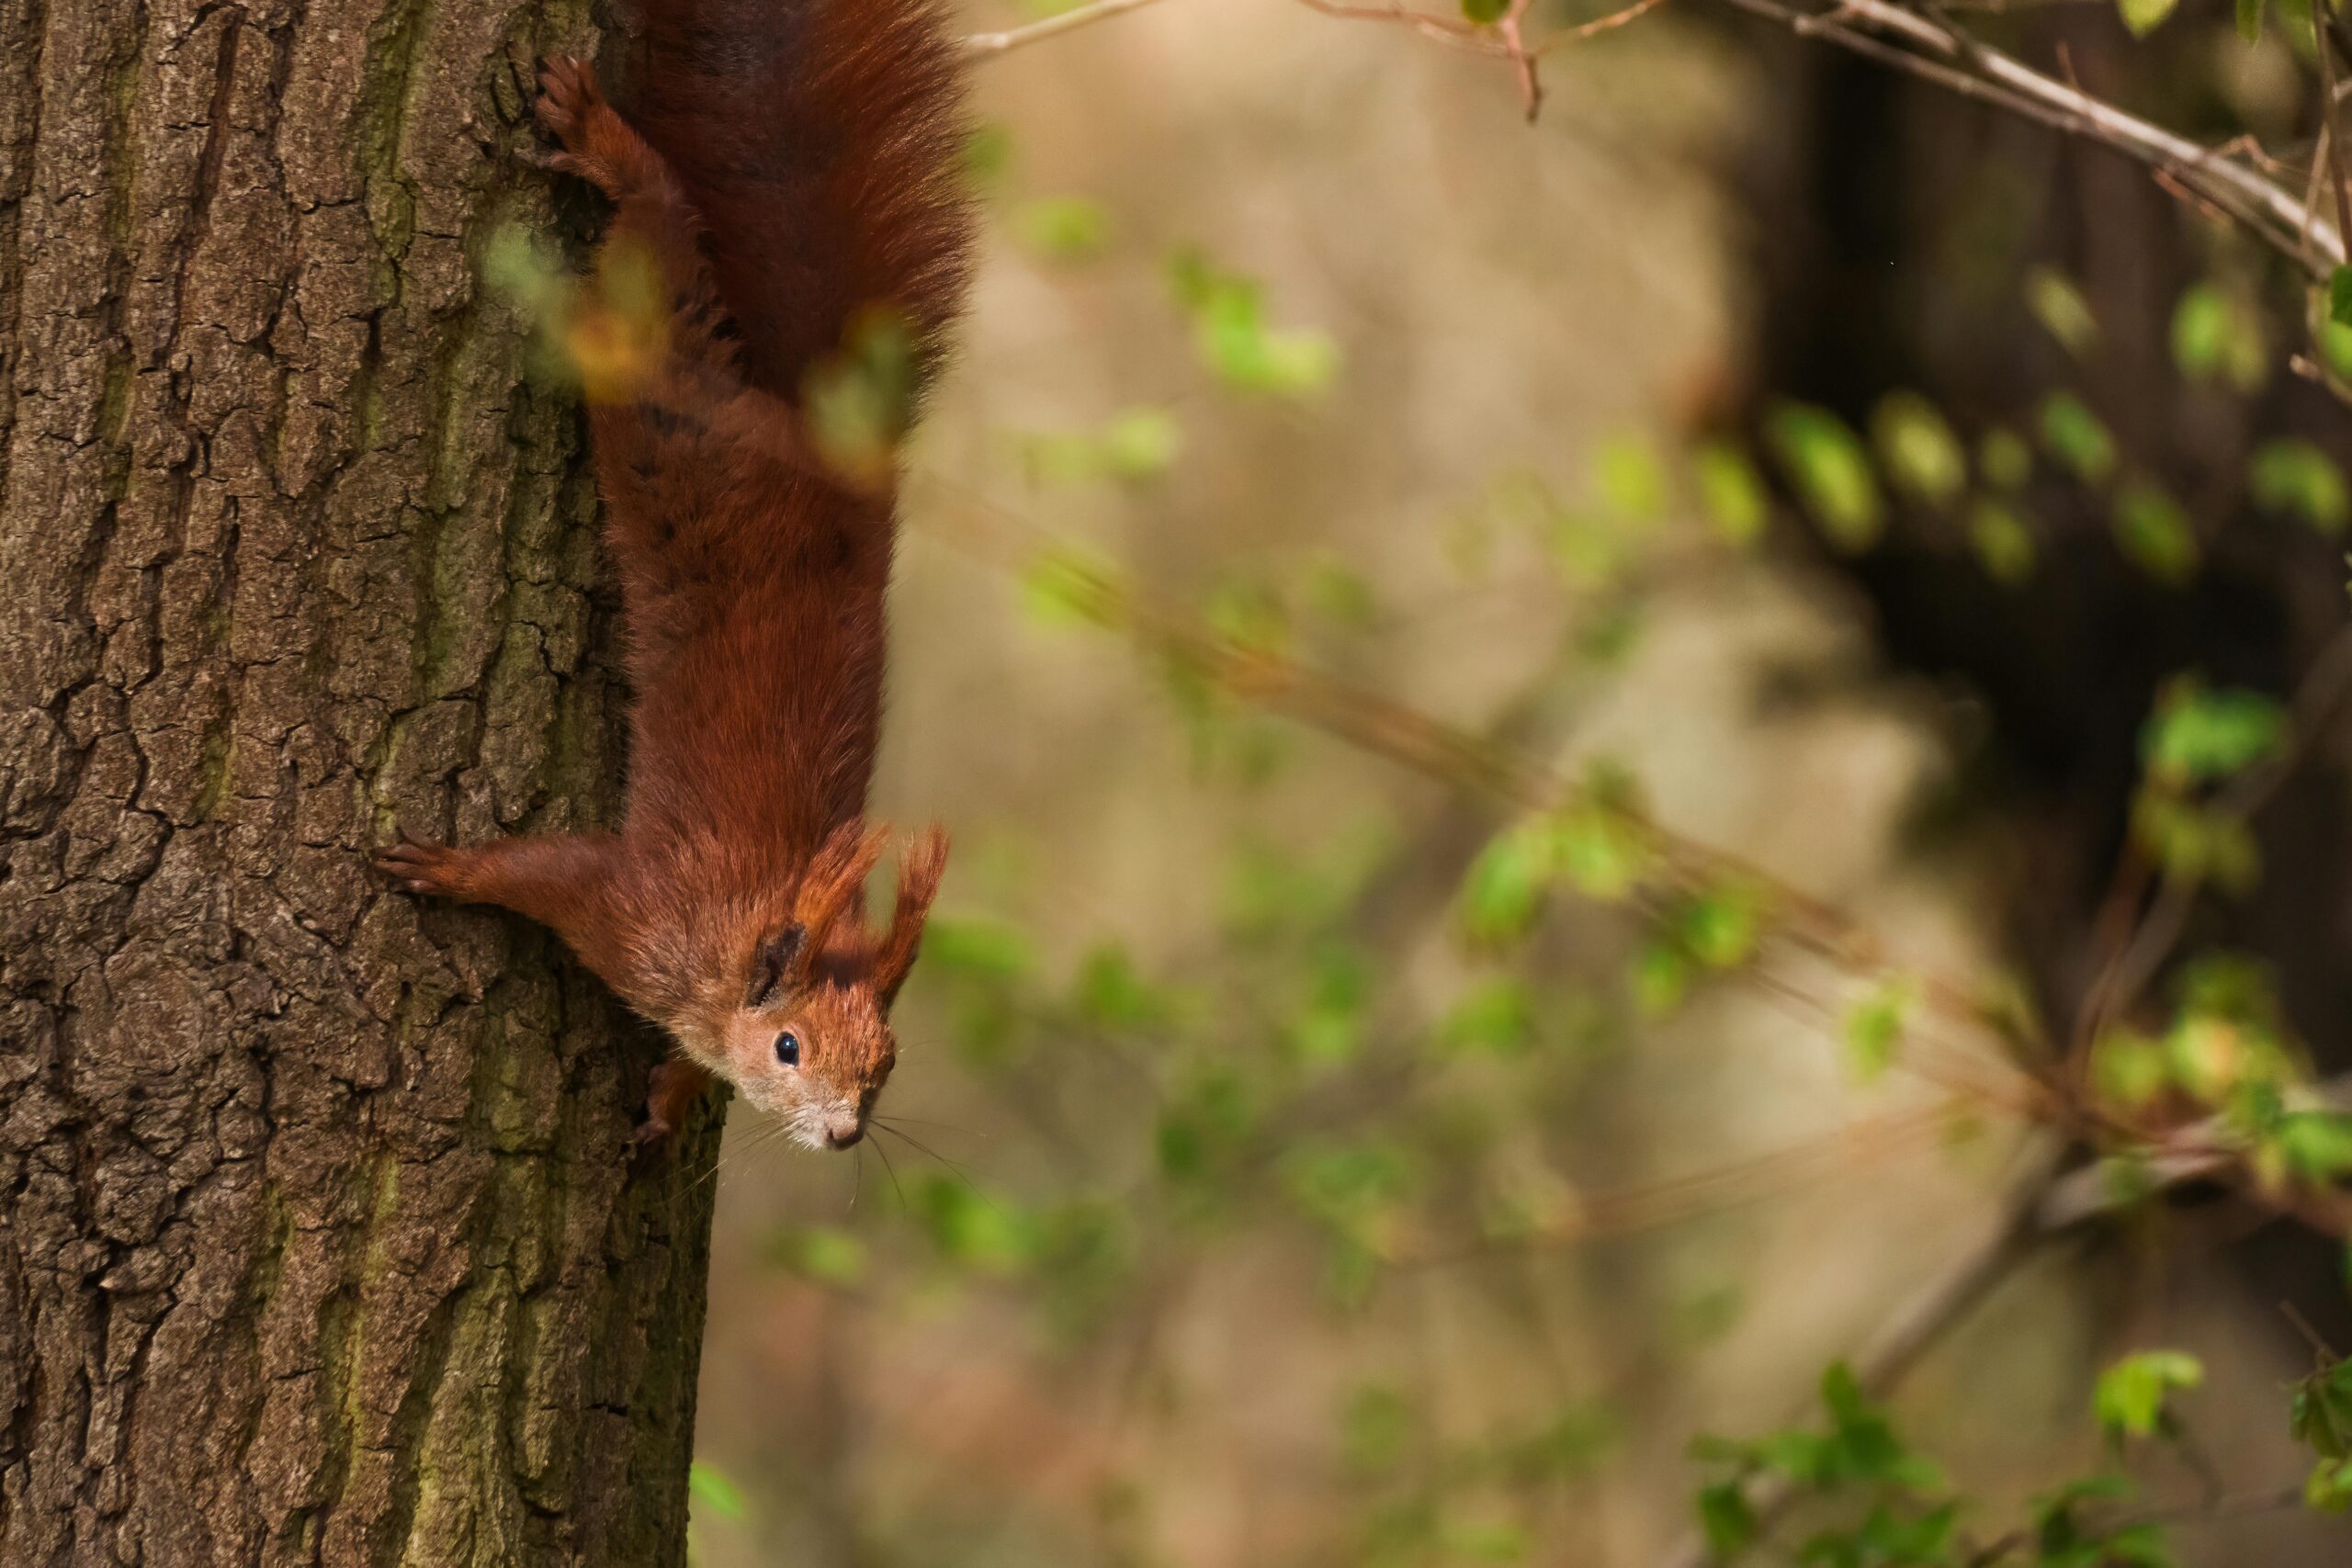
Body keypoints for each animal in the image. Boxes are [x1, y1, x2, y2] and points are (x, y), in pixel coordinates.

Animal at [374, 0, 973, 1153]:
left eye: (885, 1067)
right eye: (787, 1048)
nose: (843, 1136)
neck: (746, 940)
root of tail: (826, 460)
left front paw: (672, 1096)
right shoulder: (642, 918)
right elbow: (548, 875)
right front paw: (453, 870)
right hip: (669, 412)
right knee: (659, 244)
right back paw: (612, 149)